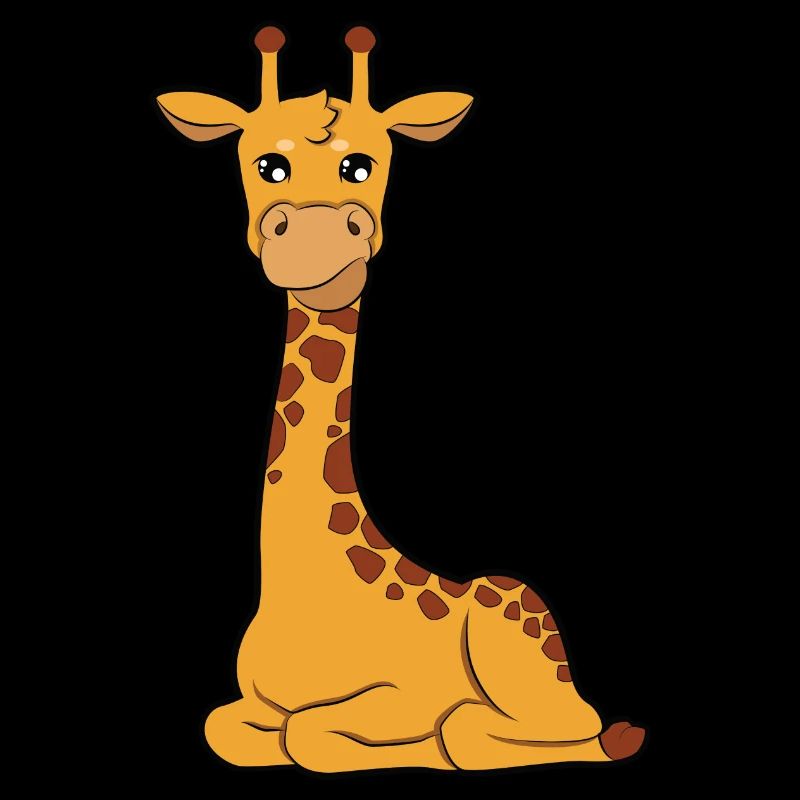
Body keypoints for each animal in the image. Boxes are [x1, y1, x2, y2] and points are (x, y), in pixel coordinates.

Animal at [157, 25, 645, 772]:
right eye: (268, 165)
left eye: (362, 166)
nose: (320, 239)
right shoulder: (246, 704)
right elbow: (228, 729)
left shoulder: (400, 697)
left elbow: (317, 738)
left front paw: (413, 744)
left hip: (521, 652)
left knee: (565, 728)